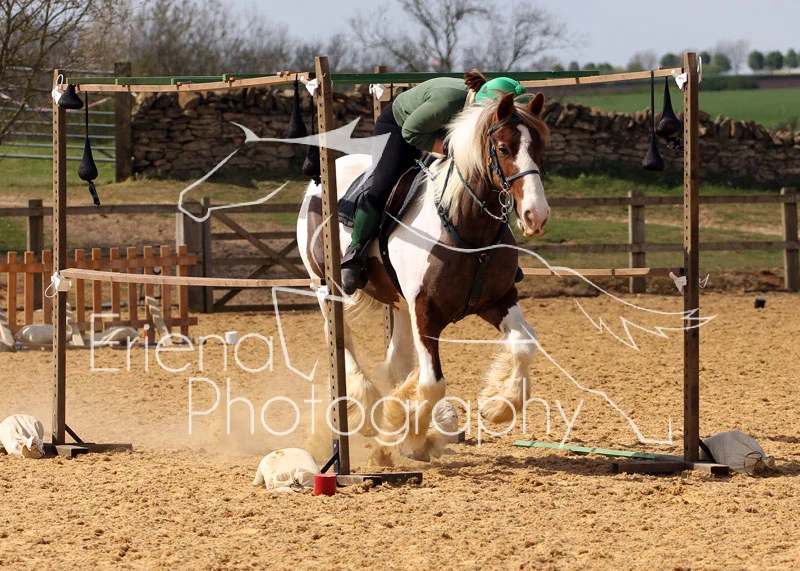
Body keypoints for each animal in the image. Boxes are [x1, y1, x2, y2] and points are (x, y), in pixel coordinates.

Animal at [297, 91, 550, 461]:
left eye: (540, 147)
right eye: (503, 148)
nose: (536, 215)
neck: (466, 225)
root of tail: (317, 183)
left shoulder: (497, 300)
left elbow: (524, 343)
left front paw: (499, 405)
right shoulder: (426, 312)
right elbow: (432, 383)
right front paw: (412, 435)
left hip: (398, 302)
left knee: (395, 362)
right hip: (325, 288)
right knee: (342, 340)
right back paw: (367, 405)